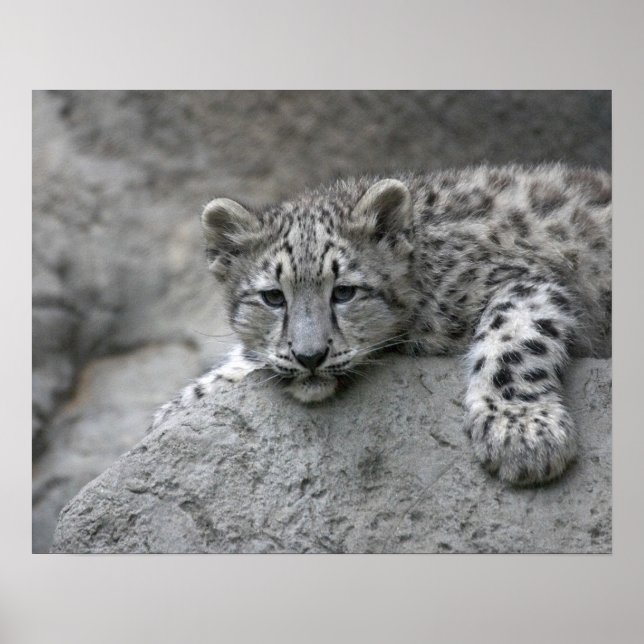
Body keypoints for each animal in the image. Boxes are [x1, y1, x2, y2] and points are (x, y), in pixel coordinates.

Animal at [153, 163, 611, 486]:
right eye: (273, 297)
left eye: (344, 292)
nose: (309, 356)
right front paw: (175, 409)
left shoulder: (528, 280)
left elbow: (513, 337)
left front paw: (522, 435)